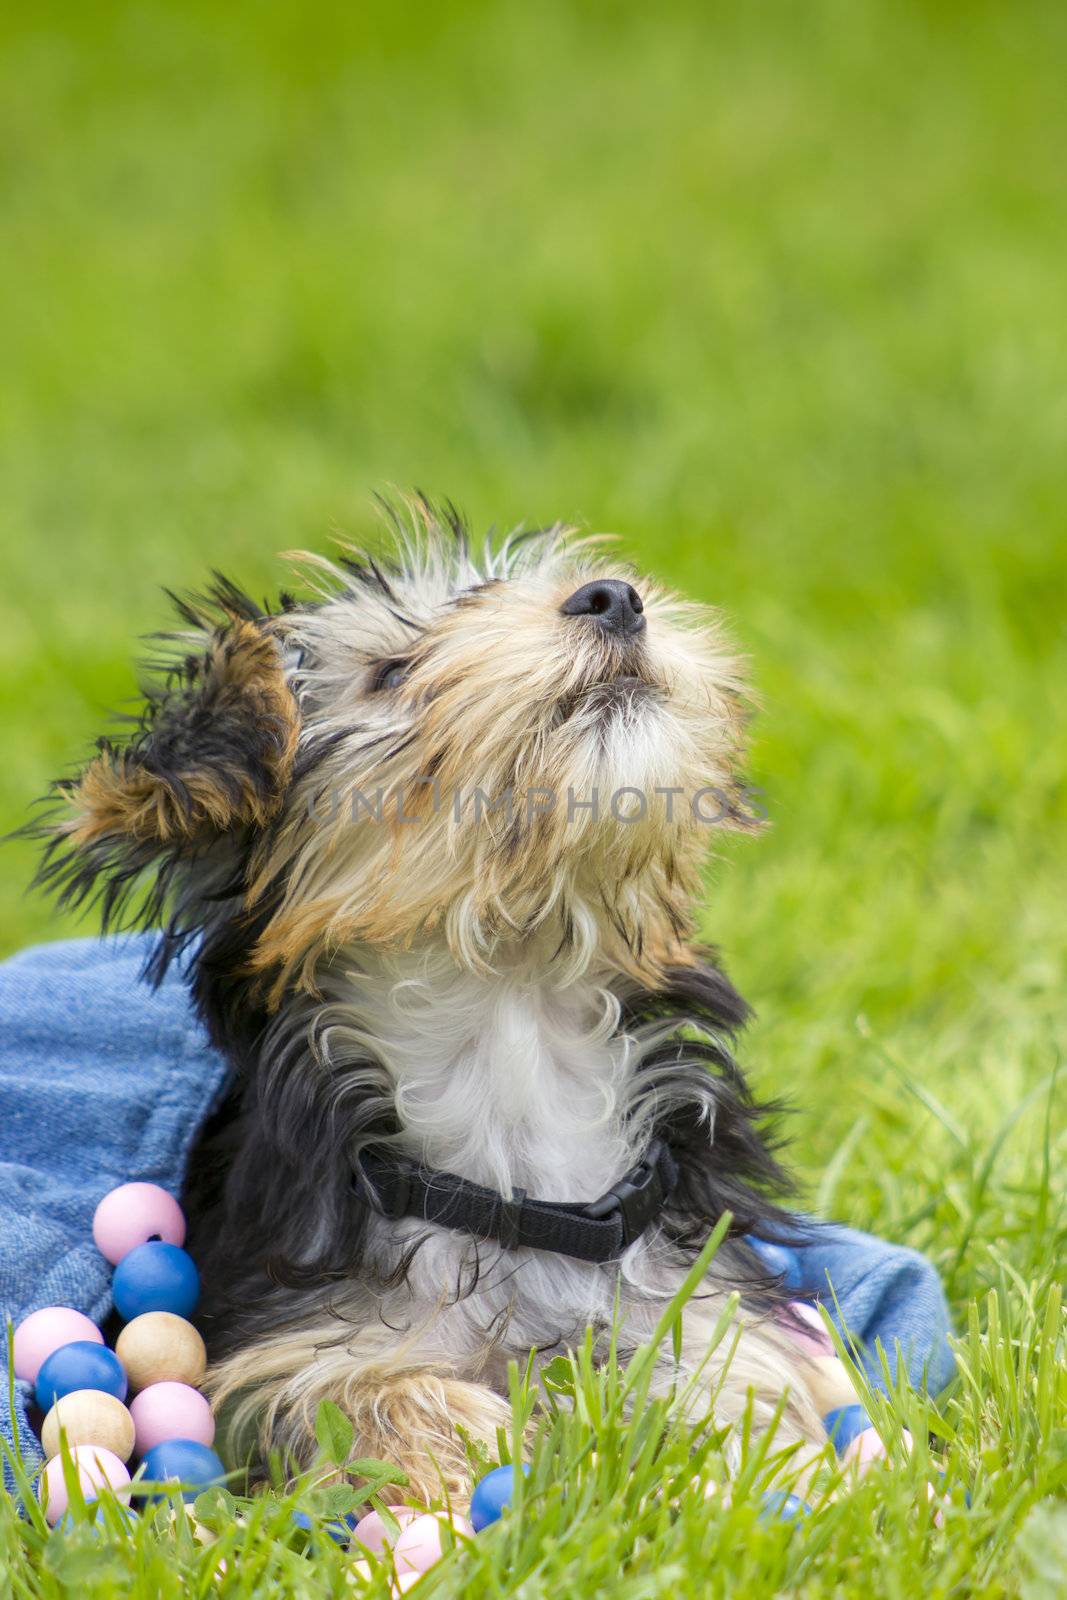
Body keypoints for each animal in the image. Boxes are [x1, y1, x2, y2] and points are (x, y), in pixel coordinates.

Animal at [37, 499, 844, 1497]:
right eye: (388, 673)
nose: (610, 597)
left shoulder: (701, 1296)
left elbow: (739, 1381)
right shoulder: (277, 1342)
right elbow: (353, 1385)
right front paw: (460, 1459)